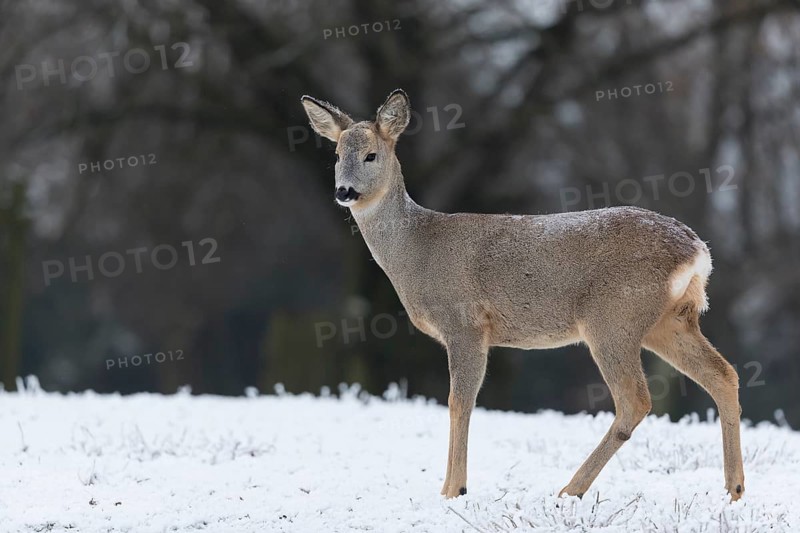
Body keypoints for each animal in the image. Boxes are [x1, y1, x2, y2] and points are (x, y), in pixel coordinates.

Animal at [300, 89, 745, 501]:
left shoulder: (465, 324)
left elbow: (459, 401)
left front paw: (452, 490)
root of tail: (696, 250)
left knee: (635, 399)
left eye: (371, 155)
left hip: (613, 317)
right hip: (667, 321)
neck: (417, 251)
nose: (344, 191)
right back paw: (734, 489)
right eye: (336, 155)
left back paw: (570, 490)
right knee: (724, 375)